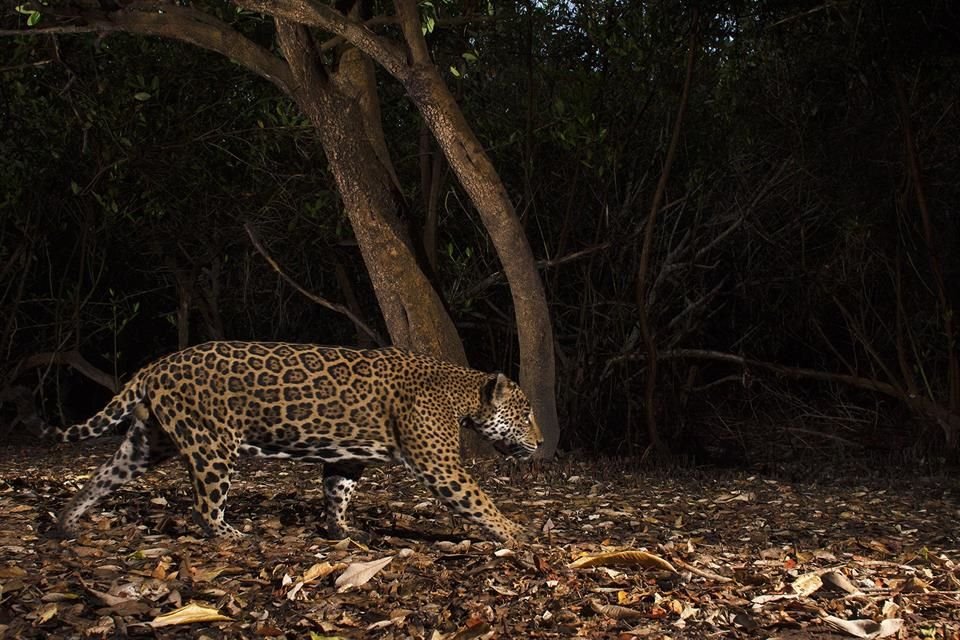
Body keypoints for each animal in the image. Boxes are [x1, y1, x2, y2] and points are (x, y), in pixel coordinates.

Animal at [50, 341, 543, 545]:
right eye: (525, 414)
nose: (540, 442)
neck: (463, 394)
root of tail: (157, 365)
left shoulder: (347, 458)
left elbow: (337, 493)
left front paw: (341, 531)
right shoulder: (440, 465)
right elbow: (479, 500)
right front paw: (514, 531)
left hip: (149, 443)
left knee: (103, 476)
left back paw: (66, 522)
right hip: (212, 446)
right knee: (205, 506)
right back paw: (232, 535)